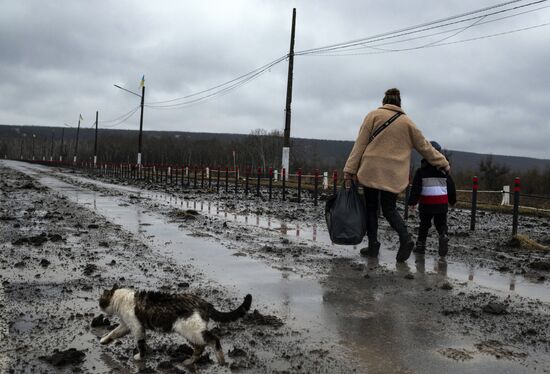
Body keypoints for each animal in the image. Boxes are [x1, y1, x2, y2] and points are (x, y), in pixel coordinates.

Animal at [98, 284, 252, 366]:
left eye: (101, 300)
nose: (99, 305)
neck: (121, 299)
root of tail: (204, 302)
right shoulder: (126, 325)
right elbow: (114, 333)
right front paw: (104, 340)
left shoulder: (137, 327)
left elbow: (140, 344)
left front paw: (140, 356)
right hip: (190, 331)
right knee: (201, 346)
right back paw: (190, 361)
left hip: (190, 330)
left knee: (212, 340)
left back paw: (219, 358)